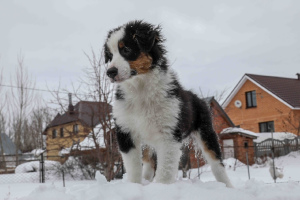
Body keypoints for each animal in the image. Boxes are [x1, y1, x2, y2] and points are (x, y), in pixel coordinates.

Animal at [104, 20, 233, 188]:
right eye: (110, 56)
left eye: (126, 49)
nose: (110, 72)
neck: (140, 89)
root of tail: (198, 97)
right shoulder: (125, 130)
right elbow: (133, 167)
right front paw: (134, 186)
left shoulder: (169, 133)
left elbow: (165, 170)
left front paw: (161, 187)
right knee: (148, 162)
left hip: (206, 131)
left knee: (217, 163)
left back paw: (228, 186)